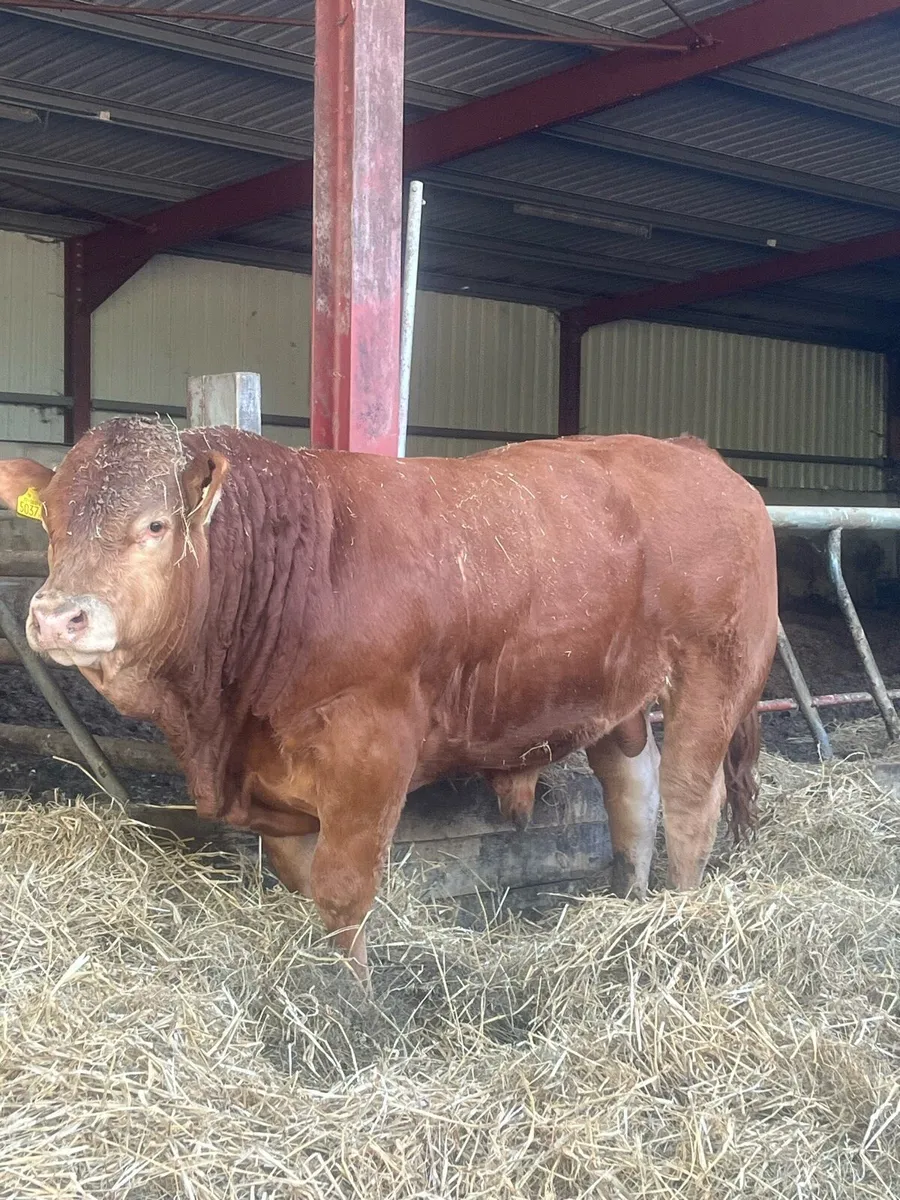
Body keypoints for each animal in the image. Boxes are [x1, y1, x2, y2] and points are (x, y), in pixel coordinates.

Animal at [0, 419, 778, 986]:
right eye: (52, 523)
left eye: (155, 525)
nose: (57, 617)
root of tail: (692, 451)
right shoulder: (273, 780)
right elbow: (300, 878)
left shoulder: (370, 751)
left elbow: (343, 890)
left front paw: (357, 1006)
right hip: (613, 693)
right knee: (630, 788)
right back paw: (632, 902)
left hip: (716, 669)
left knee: (690, 797)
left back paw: (680, 914)